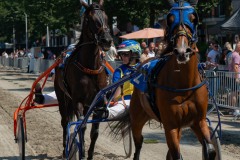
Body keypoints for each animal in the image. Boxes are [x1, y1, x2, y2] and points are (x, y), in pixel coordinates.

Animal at [54, 0, 112, 159]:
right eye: (90, 19)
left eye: (106, 17)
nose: (107, 40)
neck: (90, 67)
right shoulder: (77, 101)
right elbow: (81, 126)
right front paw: (82, 152)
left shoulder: (98, 103)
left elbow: (94, 132)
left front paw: (89, 154)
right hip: (62, 98)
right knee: (65, 121)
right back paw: (65, 149)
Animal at [111, 0, 217, 160]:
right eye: (170, 19)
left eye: (193, 18)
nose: (182, 51)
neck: (184, 85)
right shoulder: (171, 125)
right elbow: (177, 155)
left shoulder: (198, 121)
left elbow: (210, 150)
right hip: (137, 117)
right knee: (139, 141)